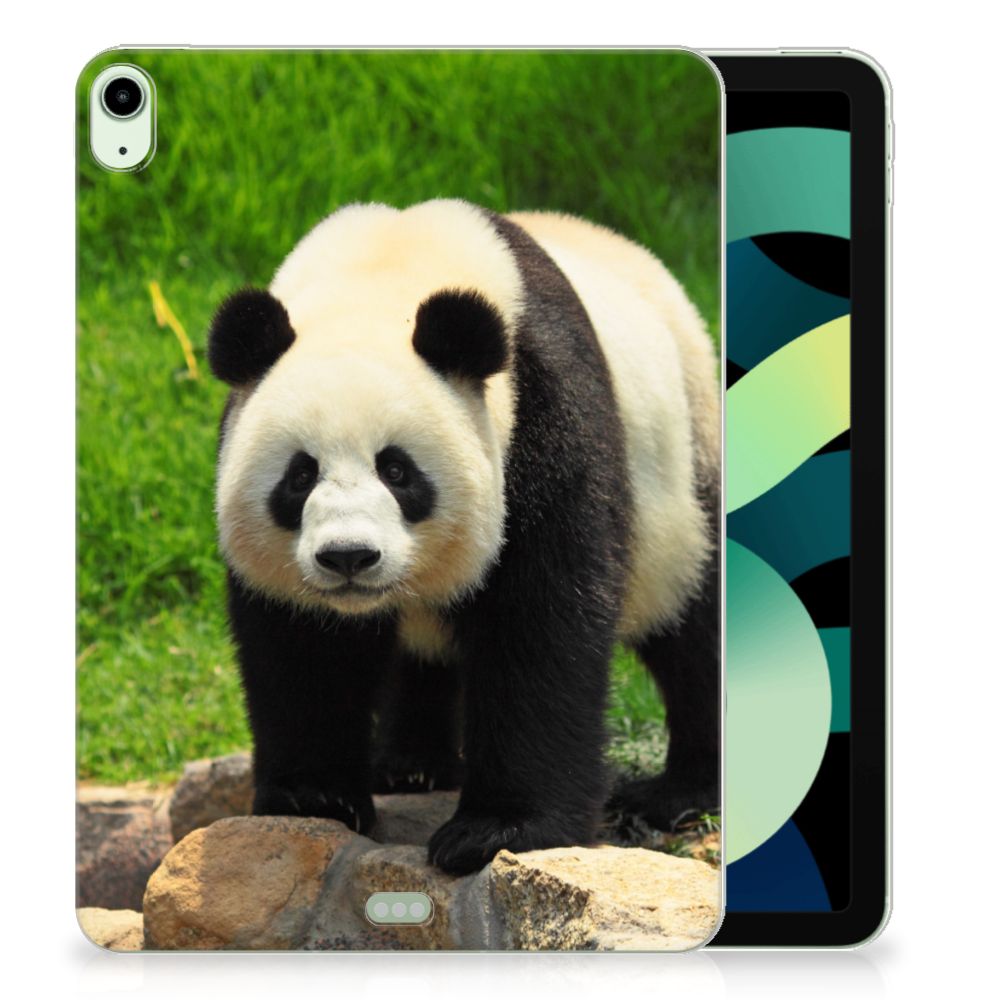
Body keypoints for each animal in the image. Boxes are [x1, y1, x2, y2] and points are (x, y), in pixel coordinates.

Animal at [209, 198, 720, 875]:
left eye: (397, 471)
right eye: (300, 475)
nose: (349, 557)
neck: (382, 274)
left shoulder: (542, 414)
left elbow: (540, 622)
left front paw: (498, 830)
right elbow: (303, 644)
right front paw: (312, 797)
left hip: (683, 468)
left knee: (694, 623)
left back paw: (679, 793)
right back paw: (411, 766)